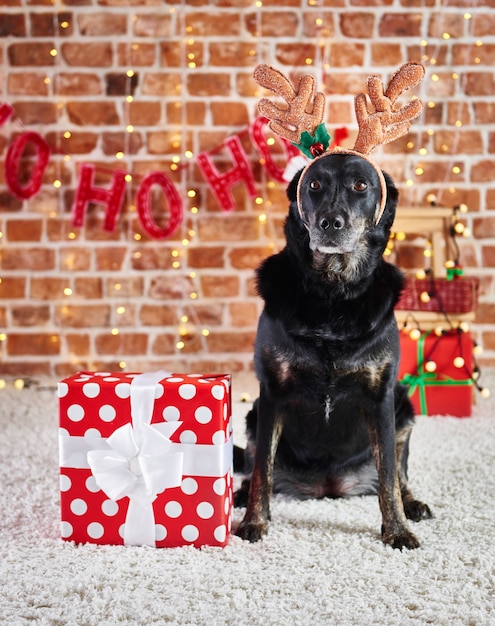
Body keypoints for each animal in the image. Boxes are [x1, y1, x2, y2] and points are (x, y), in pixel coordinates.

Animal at [234, 151, 432, 544]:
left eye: (360, 185)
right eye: (314, 184)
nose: (330, 222)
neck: (333, 293)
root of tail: (328, 487)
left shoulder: (381, 396)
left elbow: (389, 475)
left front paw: (397, 530)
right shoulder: (272, 393)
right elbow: (262, 467)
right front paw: (254, 522)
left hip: (404, 406)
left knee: (399, 472)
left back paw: (413, 504)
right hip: (252, 415)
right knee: (254, 466)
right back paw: (241, 494)